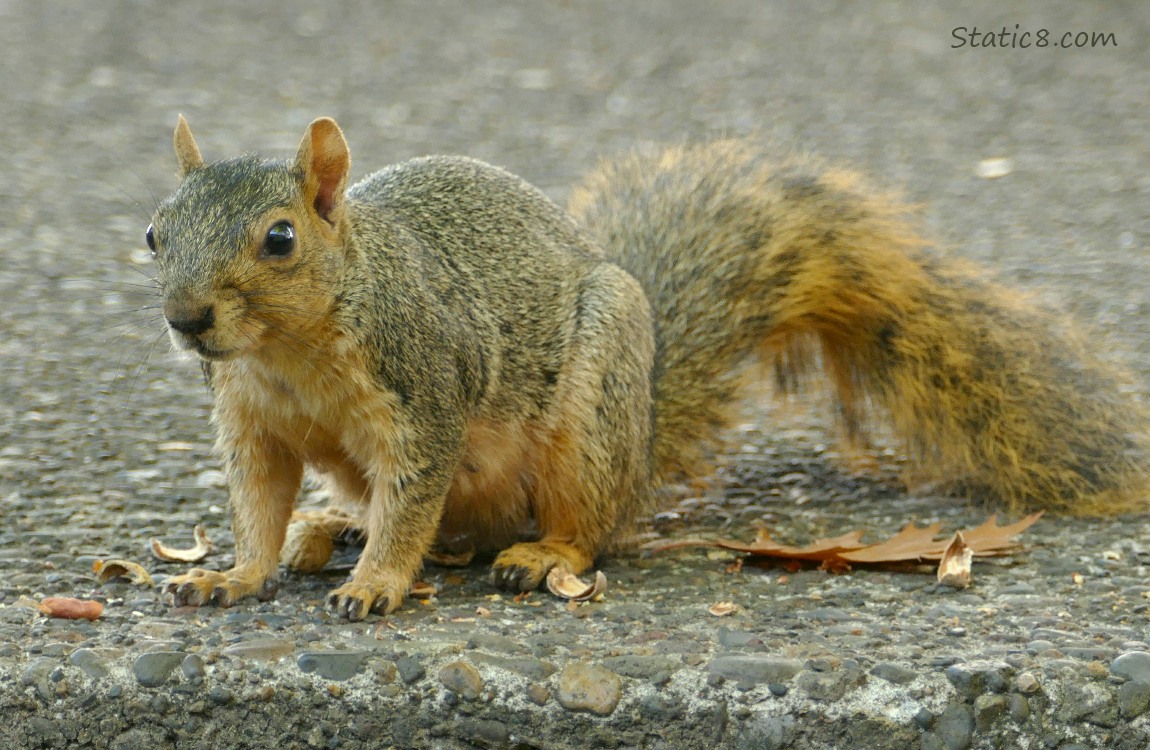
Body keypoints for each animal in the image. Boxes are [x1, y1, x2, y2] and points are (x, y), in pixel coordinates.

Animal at [150, 117, 1140, 621]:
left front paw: (379, 584)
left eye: (280, 240)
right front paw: (234, 573)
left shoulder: (426, 389)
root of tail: (642, 446)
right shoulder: (250, 422)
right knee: (439, 525)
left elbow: (413, 499)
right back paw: (329, 528)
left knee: (584, 529)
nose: (186, 320)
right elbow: (256, 504)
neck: (288, 355)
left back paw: (538, 554)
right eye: (155, 232)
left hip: (593, 417)